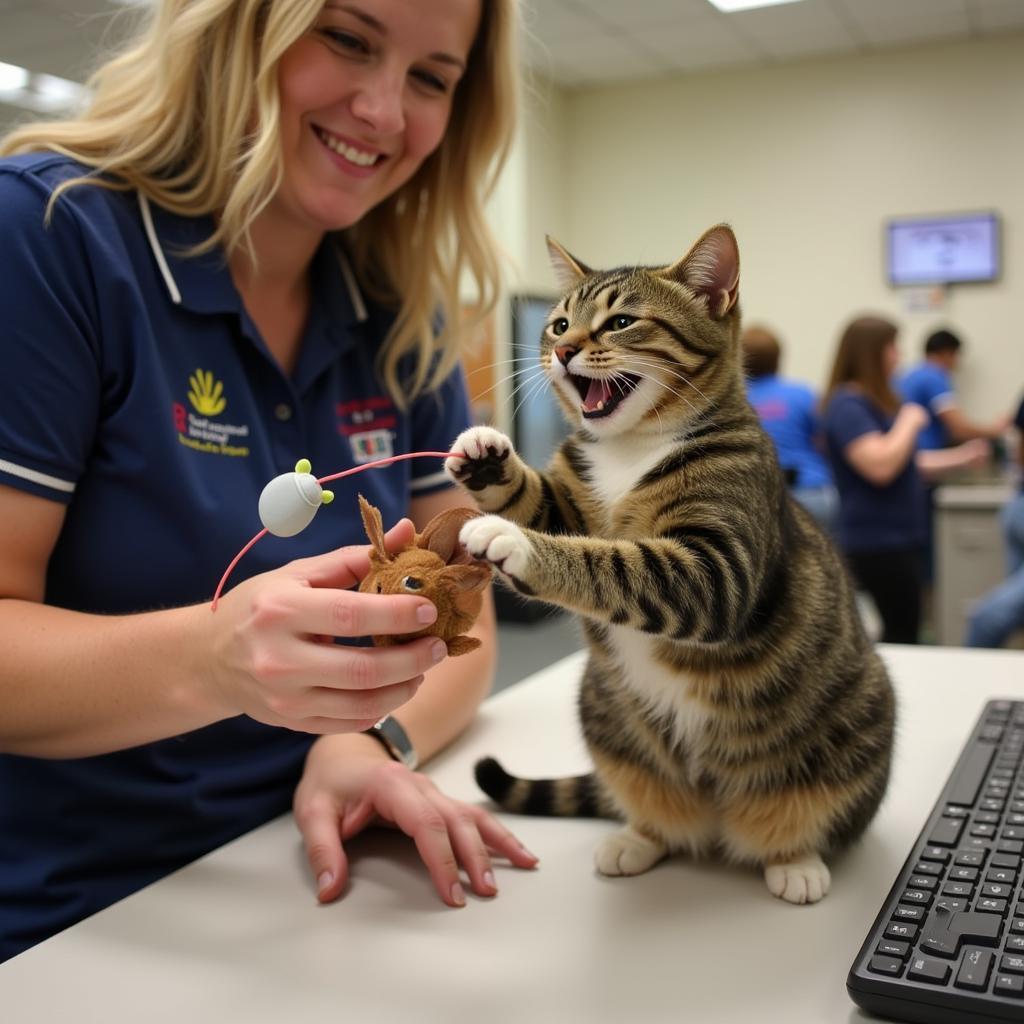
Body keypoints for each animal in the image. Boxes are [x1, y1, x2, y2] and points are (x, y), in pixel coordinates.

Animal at [444, 224, 892, 905]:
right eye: (559, 323)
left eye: (621, 322)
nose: (563, 350)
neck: (631, 449)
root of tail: (717, 816)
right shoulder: (570, 499)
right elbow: (545, 503)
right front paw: (489, 461)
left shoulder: (713, 567)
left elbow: (611, 562)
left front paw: (514, 542)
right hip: (604, 714)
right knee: (661, 811)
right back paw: (642, 836)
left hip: (861, 719)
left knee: (805, 814)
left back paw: (794, 858)